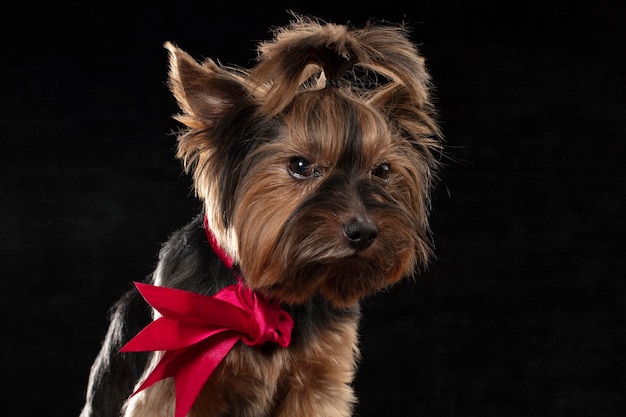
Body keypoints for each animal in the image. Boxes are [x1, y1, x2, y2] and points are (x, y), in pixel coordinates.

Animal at [79, 14, 438, 416]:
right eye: (301, 166)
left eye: (382, 171)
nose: (363, 231)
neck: (268, 299)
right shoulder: (173, 381)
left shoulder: (319, 382)